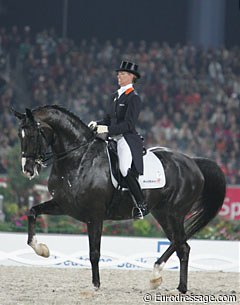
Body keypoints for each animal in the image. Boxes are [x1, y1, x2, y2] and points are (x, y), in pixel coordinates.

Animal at [11, 104, 226, 292]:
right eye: (20, 135)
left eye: (33, 134)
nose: (28, 170)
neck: (78, 158)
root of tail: (193, 162)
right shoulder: (63, 206)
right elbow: (32, 212)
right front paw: (41, 250)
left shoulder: (94, 215)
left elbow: (94, 252)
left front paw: (96, 285)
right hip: (162, 213)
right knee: (179, 243)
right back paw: (155, 276)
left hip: (175, 213)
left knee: (183, 247)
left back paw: (180, 287)